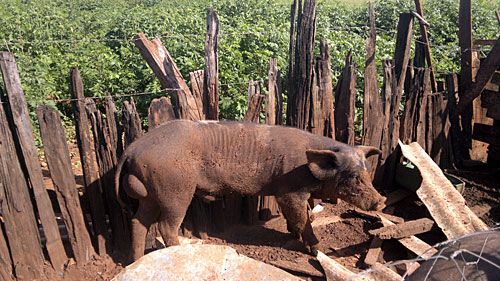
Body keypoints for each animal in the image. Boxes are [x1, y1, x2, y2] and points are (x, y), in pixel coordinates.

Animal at [114, 119, 386, 260]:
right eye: (353, 177)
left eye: (366, 172)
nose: (381, 201)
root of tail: (133, 147)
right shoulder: (289, 192)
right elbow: (302, 219)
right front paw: (316, 250)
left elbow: (295, 220)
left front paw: (294, 237)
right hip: (175, 191)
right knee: (165, 226)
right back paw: (181, 251)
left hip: (150, 194)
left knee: (139, 222)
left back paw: (137, 260)